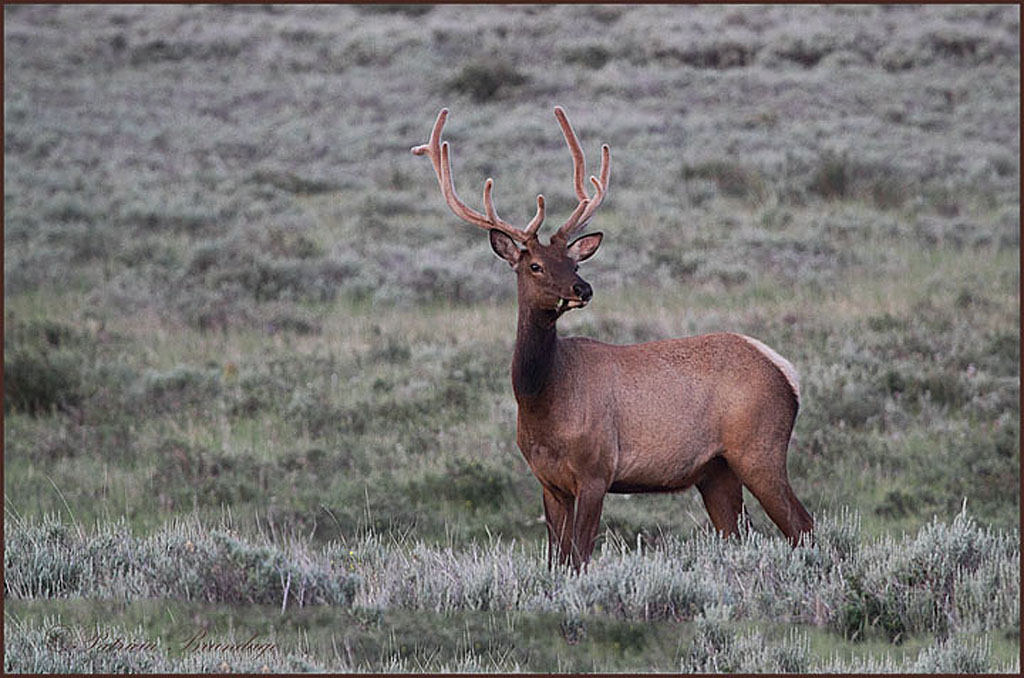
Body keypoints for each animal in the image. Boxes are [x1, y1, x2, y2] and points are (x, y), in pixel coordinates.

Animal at [412, 106, 813, 570]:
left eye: (573, 261)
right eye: (534, 265)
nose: (583, 289)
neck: (542, 400)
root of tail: (787, 372)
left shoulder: (596, 469)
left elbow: (580, 556)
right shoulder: (549, 482)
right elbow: (558, 558)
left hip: (760, 448)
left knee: (802, 525)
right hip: (716, 470)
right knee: (739, 531)